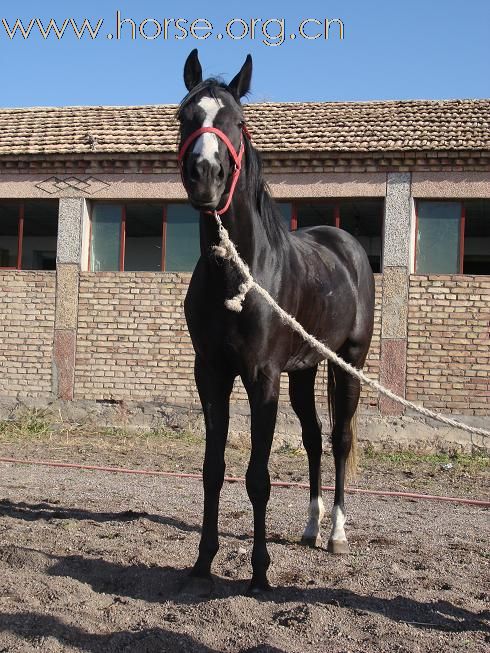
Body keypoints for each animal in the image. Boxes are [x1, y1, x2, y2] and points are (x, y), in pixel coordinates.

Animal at [178, 48, 374, 592]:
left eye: (238, 122)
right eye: (184, 116)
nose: (205, 175)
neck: (238, 275)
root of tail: (346, 245)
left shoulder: (262, 377)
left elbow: (257, 477)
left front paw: (260, 573)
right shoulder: (212, 374)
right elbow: (213, 468)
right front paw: (203, 561)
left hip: (348, 364)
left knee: (340, 438)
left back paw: (337, 533)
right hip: (305, 371)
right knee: (313, 437)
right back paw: (310, 527)